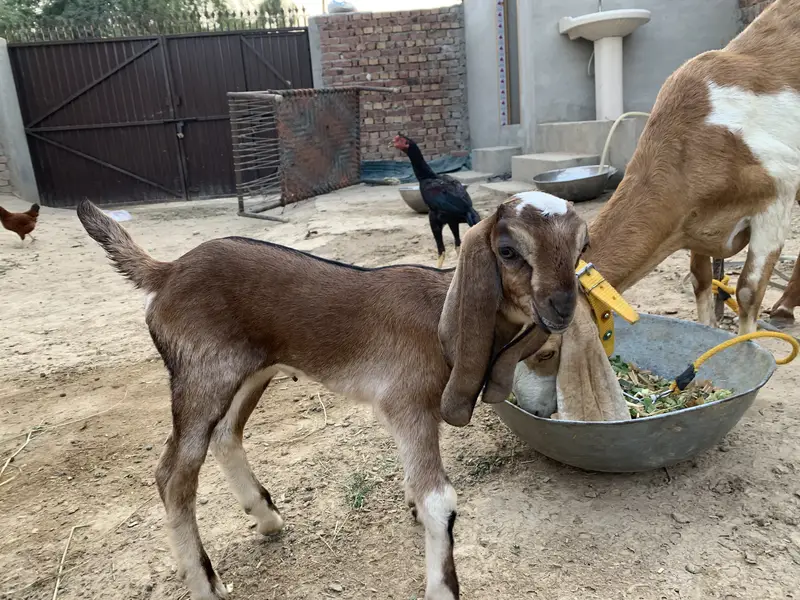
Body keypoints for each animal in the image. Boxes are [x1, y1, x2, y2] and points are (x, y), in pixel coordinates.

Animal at [76, 192, 588, 600]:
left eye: (581, 248)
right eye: (508, 250)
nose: (562, 308)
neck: (438, 314)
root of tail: (166, 273)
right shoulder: (408, 405)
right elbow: (440, 500)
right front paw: (442, 587)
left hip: (250, 373)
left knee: (225, 435)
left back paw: (267, 518)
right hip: (201, 377)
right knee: (174, 475)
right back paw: (207, 585)